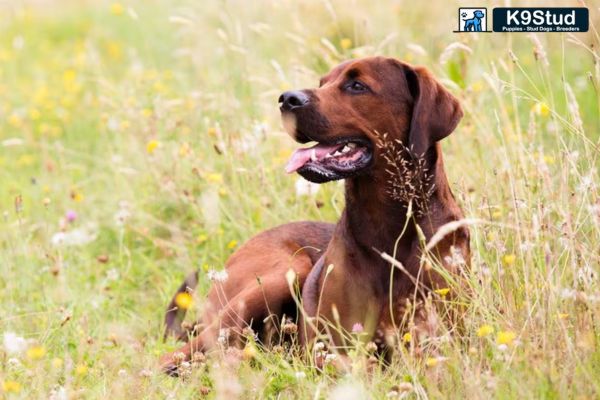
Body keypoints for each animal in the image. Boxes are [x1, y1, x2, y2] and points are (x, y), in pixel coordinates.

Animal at [159, 56, 468, 376]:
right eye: (323, 82)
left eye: (357, 85)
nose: (287, 99)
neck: (388, 230)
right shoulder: (330, 350)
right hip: (283, 274)